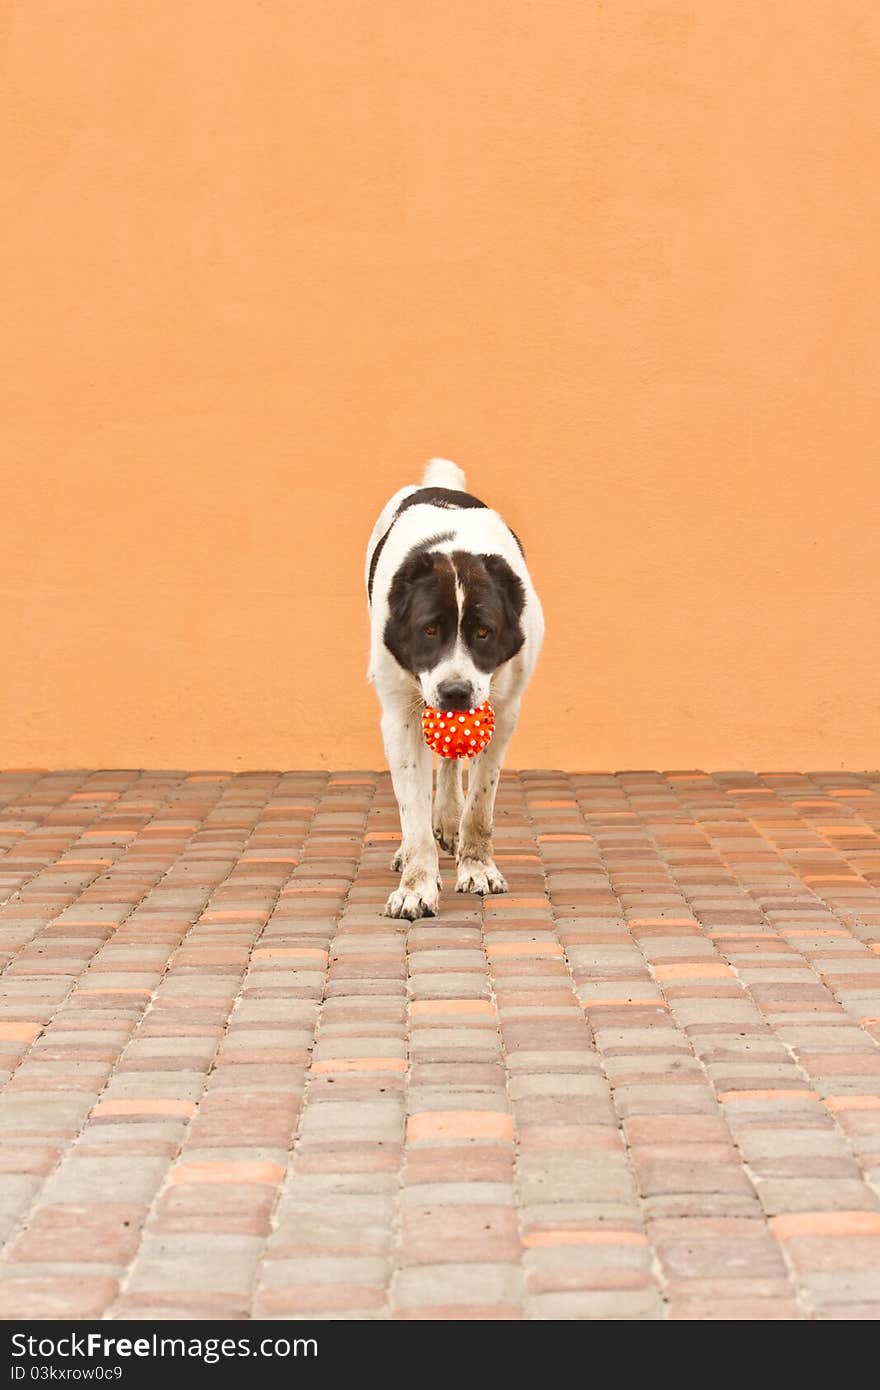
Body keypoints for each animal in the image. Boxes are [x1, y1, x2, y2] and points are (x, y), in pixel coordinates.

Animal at [364, 455, 542, 917]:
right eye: (429, 630)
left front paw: (477, 867)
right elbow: (412, 810)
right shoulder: (400, 714)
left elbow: (480, 804)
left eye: (483, 632)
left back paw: (448, 820)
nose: (456, 692)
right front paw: (416, 886)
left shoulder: (505, 709)